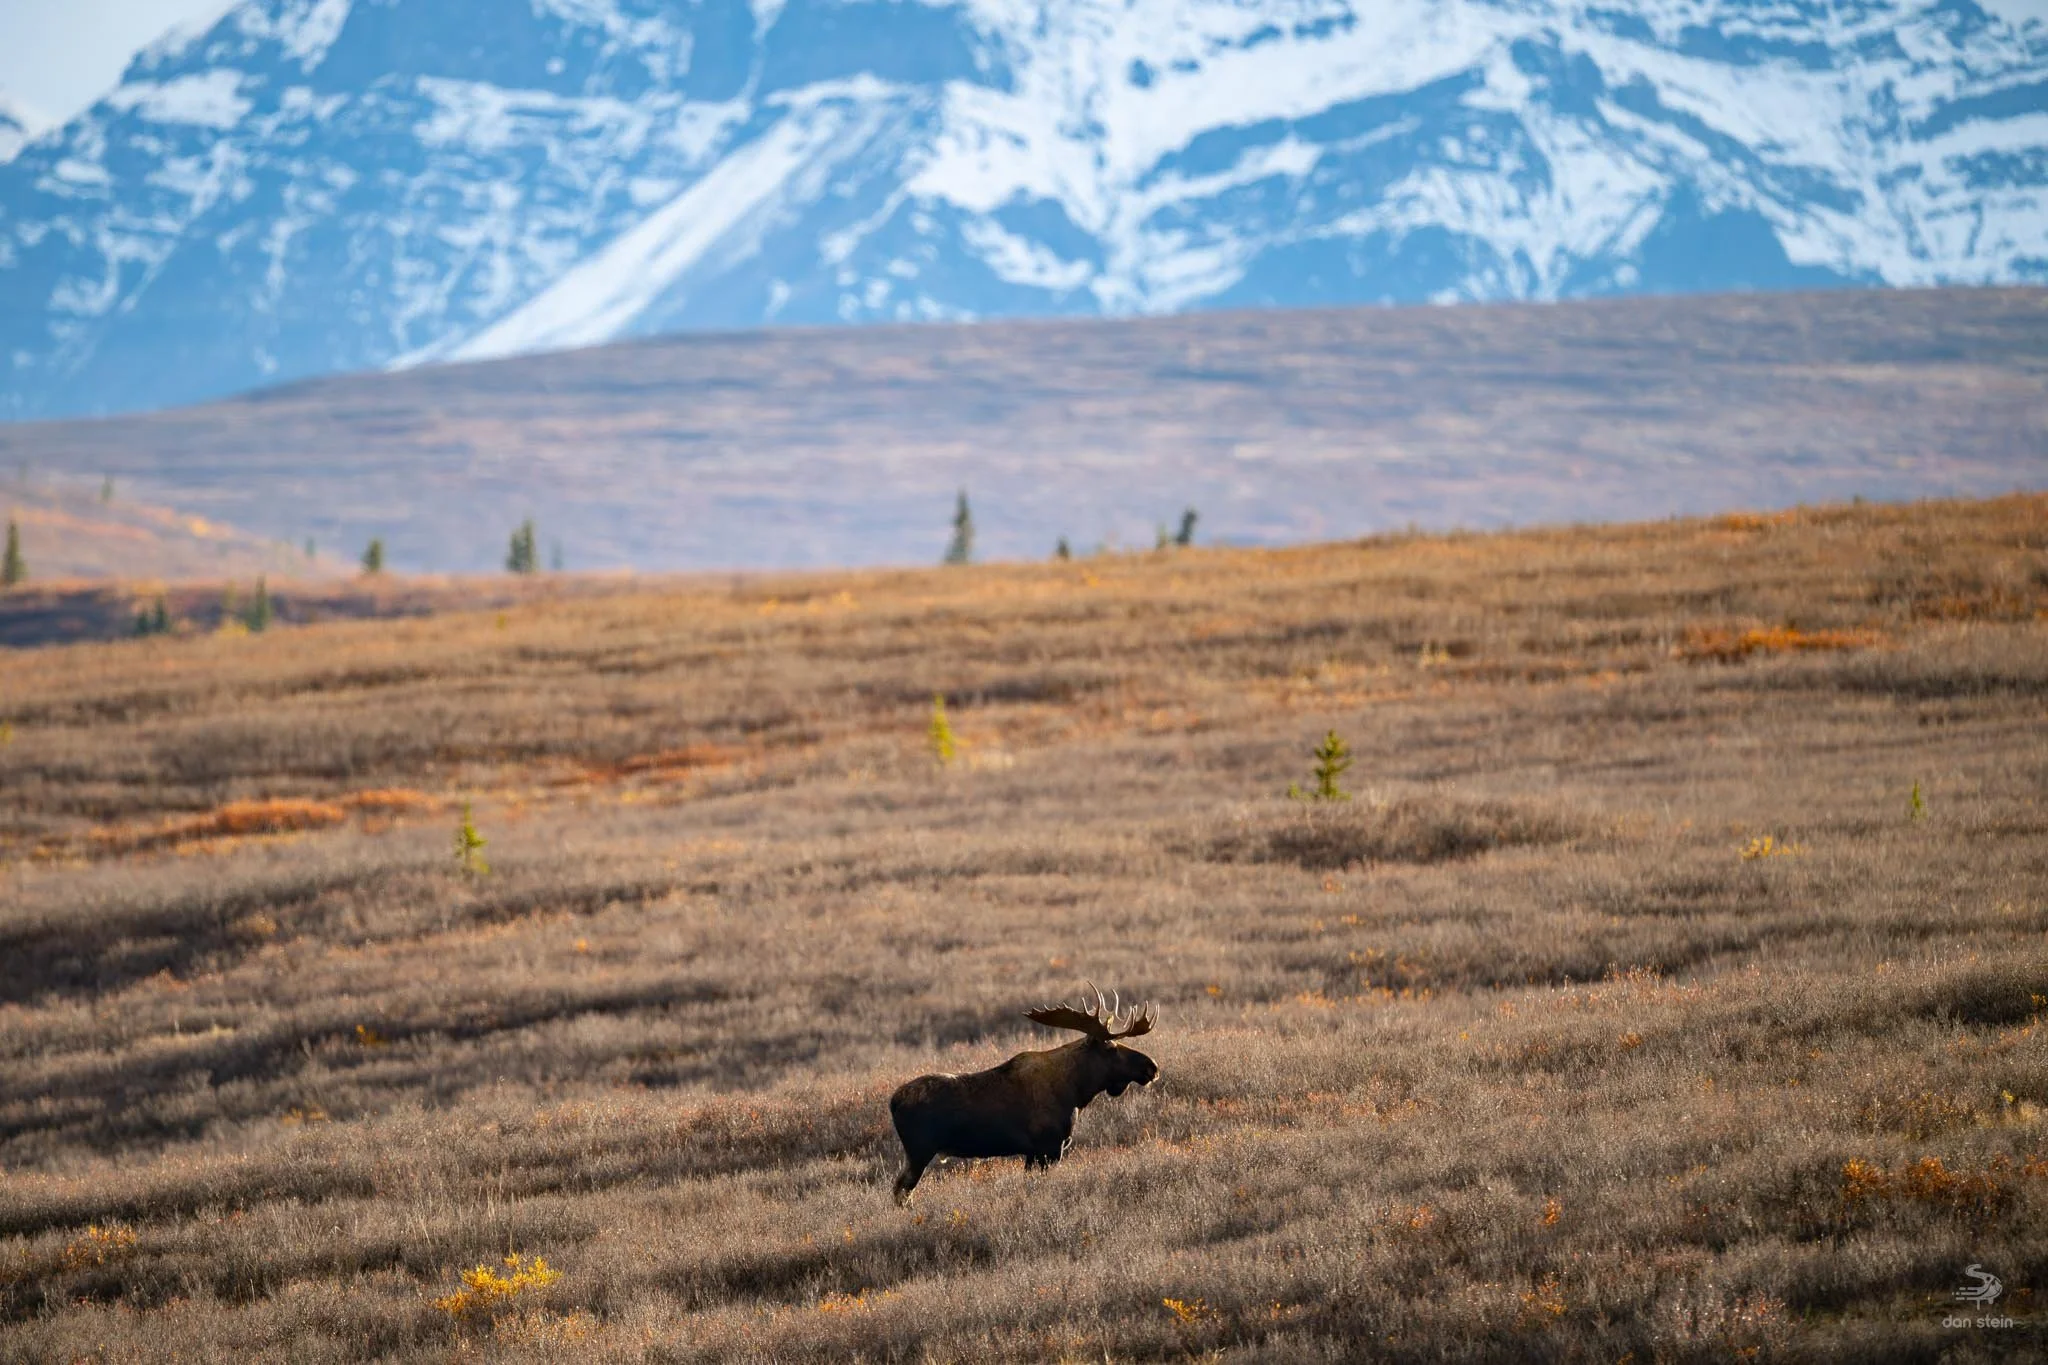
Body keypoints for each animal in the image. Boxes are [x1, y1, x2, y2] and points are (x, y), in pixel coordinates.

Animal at [888, 984, 1158, 1204]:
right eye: (1111, 1047)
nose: (1151, 1066)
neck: (1076, 1092)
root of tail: (893, 1102)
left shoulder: (1033, 1152)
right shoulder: (1049, 1147)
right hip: (919, 1151)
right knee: (901, 1189)